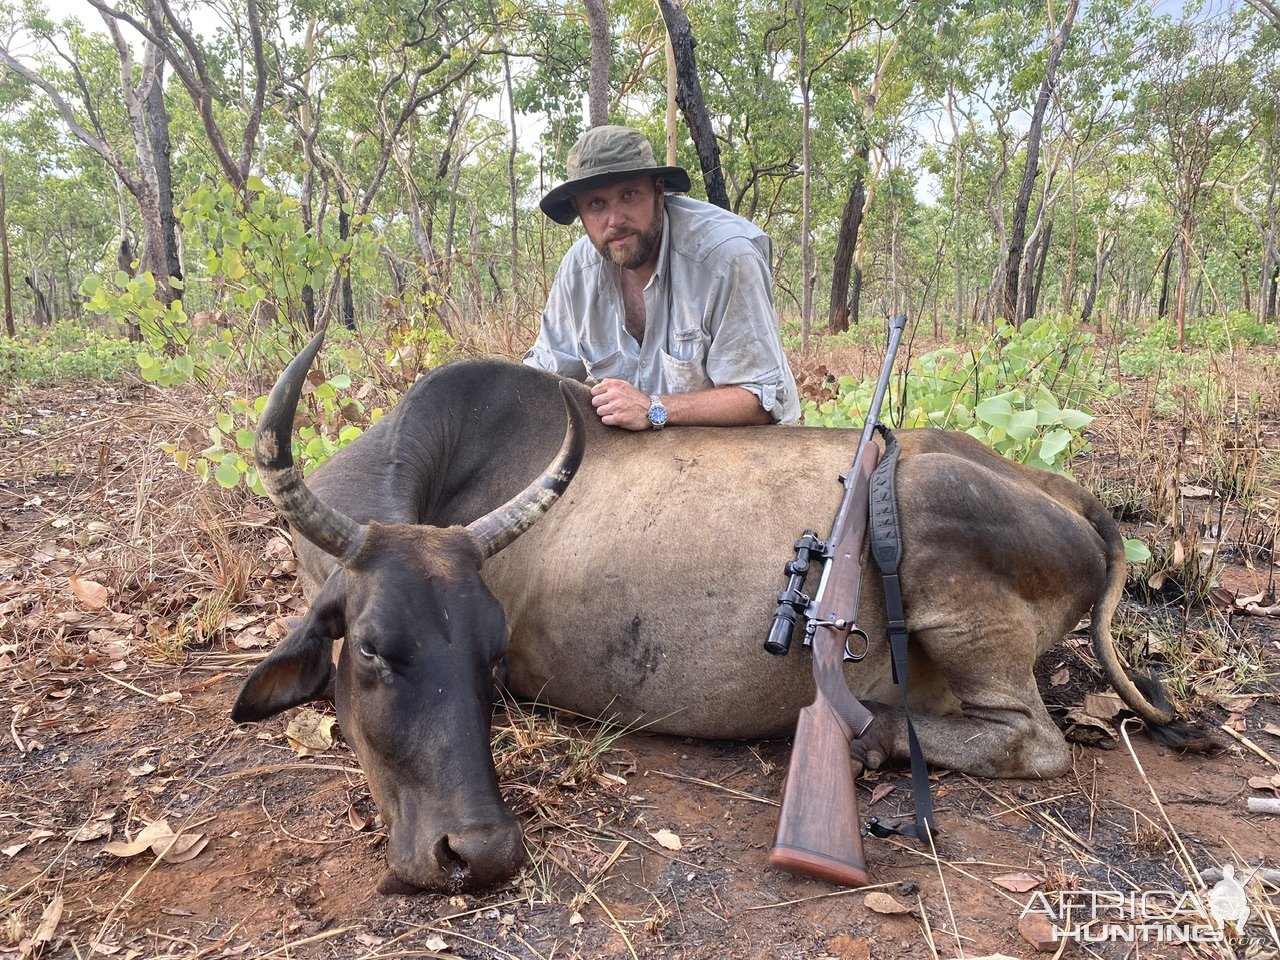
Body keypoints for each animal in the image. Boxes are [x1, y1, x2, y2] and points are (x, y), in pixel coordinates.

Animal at [232, 330, 1177, 896]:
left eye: (487, 656)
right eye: (372, 650)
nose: (480, 851)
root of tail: (1066, 495)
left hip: (931, 518)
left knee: (1033, 740)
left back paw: (874, 736)